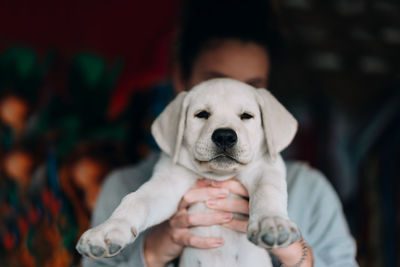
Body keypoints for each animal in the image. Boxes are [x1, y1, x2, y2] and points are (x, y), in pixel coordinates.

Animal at [76, 78, 300, 266]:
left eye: (246, 116)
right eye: (201, 114)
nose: (225, 136)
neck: (218, 176)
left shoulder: (266, 169)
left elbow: (267, 192)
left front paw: (272, 224)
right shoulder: (168, 181)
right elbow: (135, 200)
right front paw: (107, 231)